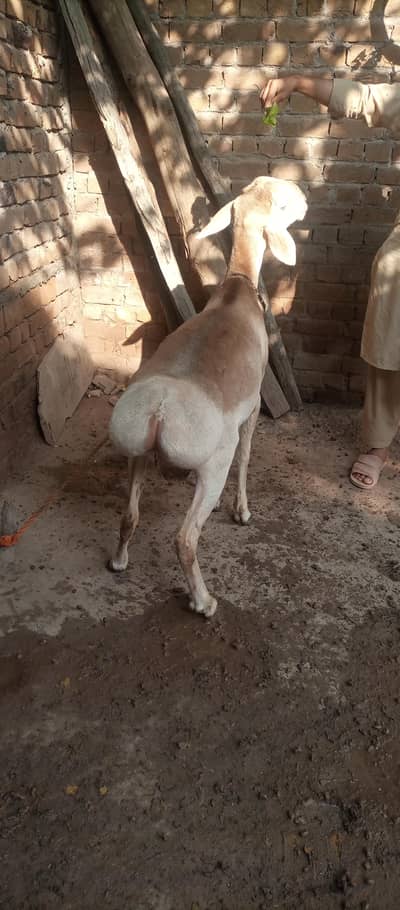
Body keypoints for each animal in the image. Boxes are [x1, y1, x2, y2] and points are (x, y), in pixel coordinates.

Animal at [108, 176, 307, 618]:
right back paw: (204, 601)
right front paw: (242, 511)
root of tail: (160, 411)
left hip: (136, 457)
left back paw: (118, 561)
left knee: (129, 515)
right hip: (212, 464)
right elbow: (247, 458)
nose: (304, 200)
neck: (237, 292)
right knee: (185, 538)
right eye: (283, 202)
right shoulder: (252, 410)